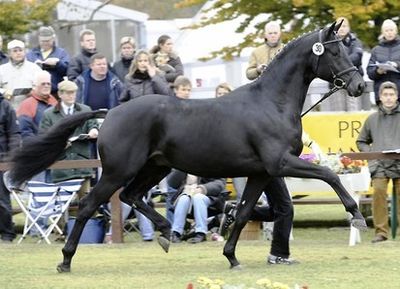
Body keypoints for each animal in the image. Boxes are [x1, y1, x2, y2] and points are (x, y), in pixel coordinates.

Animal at [9, 22, 366, 270]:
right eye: (334, 52)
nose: (359, 85)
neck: (271, 103)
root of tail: (109, 112)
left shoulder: (262, 173)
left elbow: (242, 213)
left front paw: (232, 257)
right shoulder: (280, 163)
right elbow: (330, 175)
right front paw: (356, 215)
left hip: (155, 168)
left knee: (131, 196)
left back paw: (166, 233)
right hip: (117, 172)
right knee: (88, 206)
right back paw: (65, 261)